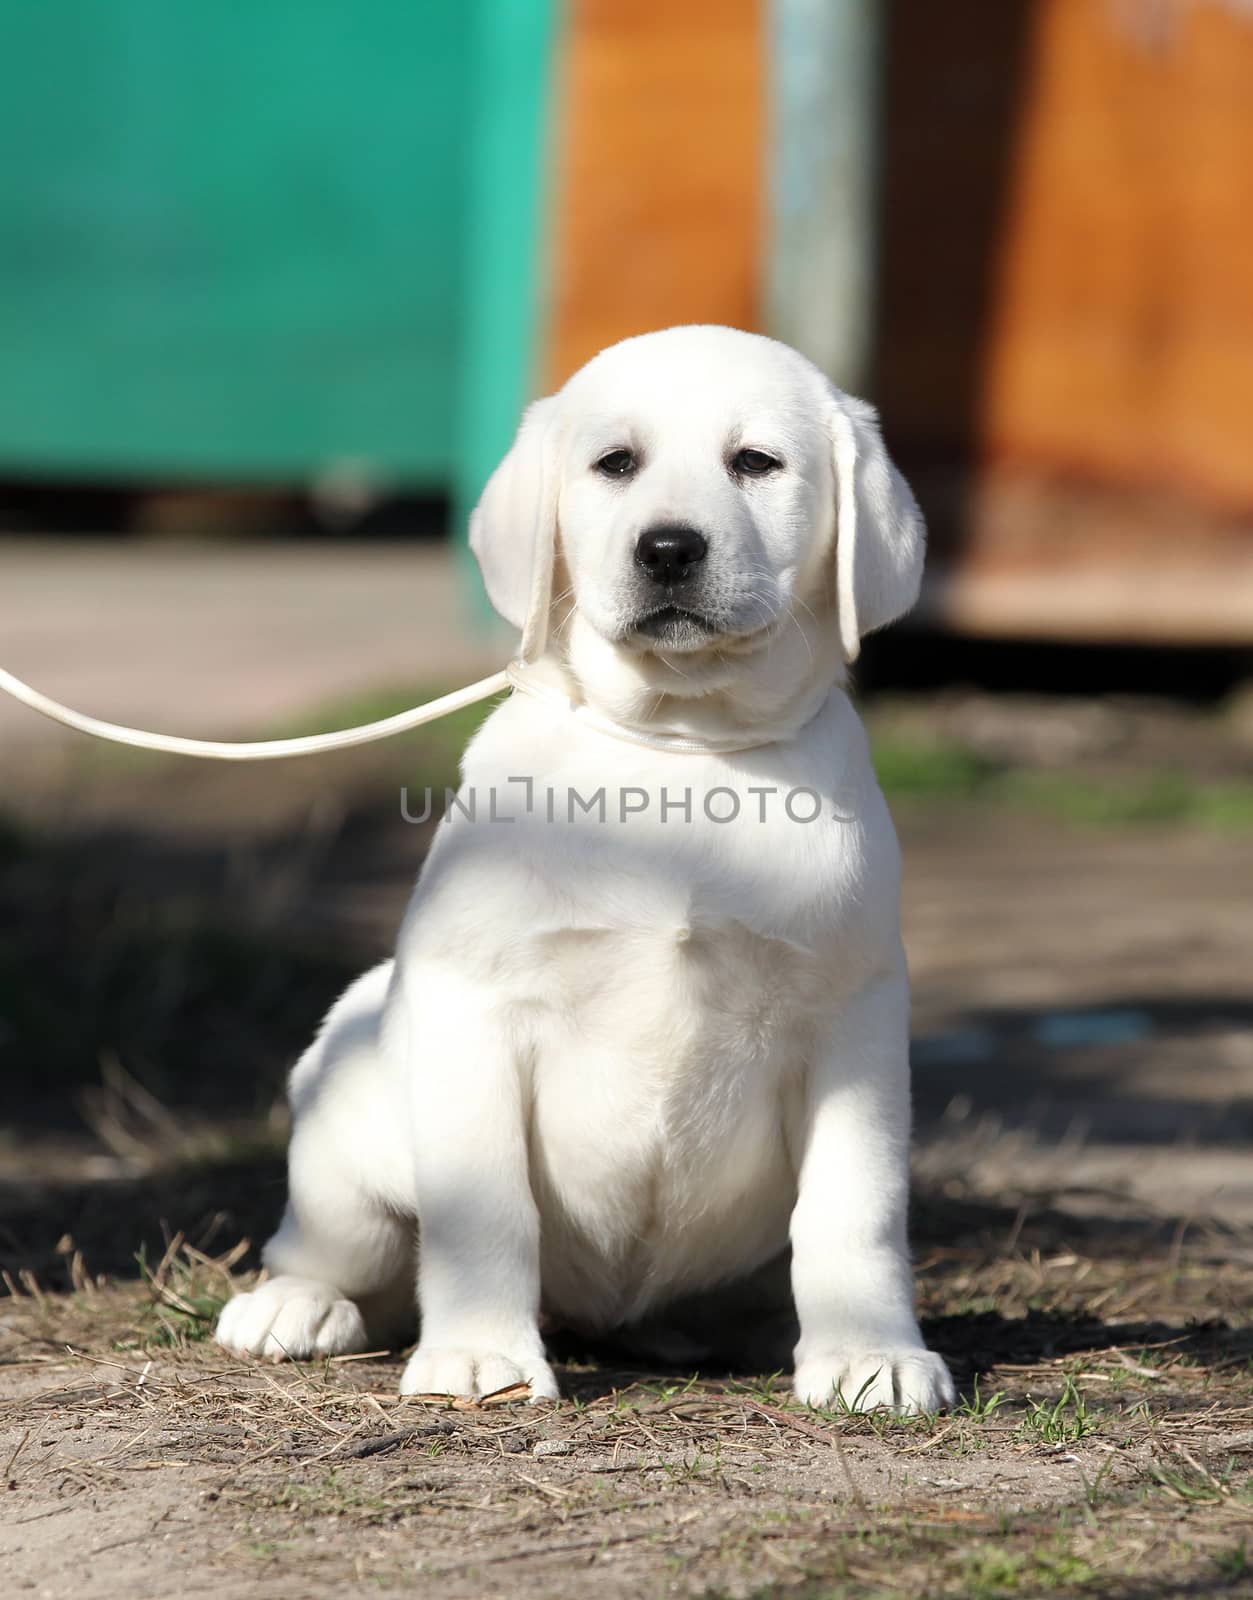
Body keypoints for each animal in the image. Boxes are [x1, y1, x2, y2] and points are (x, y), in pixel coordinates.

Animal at [217, 324, 960, 1414]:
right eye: (615, 464)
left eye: (756, 463)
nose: (669, 548)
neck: (679, 750)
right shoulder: (478, 1006)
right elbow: (486, 1212)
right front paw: (478, 1354)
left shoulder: (850, 1021)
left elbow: (849, 1210)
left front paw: (870, 1353)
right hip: (346, 1104)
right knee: (335, 1248)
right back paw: (294, 1307)